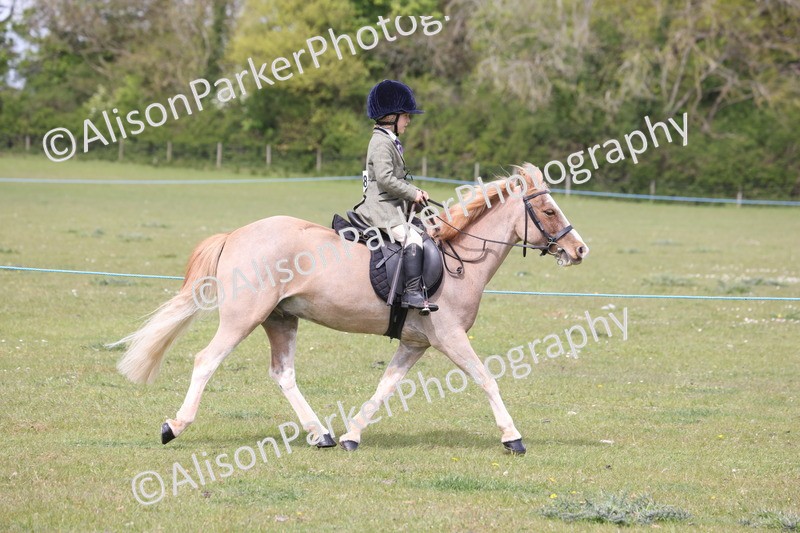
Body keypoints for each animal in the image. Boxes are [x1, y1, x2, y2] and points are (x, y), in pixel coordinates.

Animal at [113, 163, 589, 454]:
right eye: (548, 209)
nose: (579, 250)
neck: (459, 261)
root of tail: (236, 234)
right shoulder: (451, 337)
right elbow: (487, 379)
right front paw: (513, 438)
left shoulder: (415, 343)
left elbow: (384, 388)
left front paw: (352, 435)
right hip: (242, 318)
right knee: (206, 360)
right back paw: (174, 426)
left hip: (281, 319)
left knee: (283, 374)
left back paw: (321, 433)